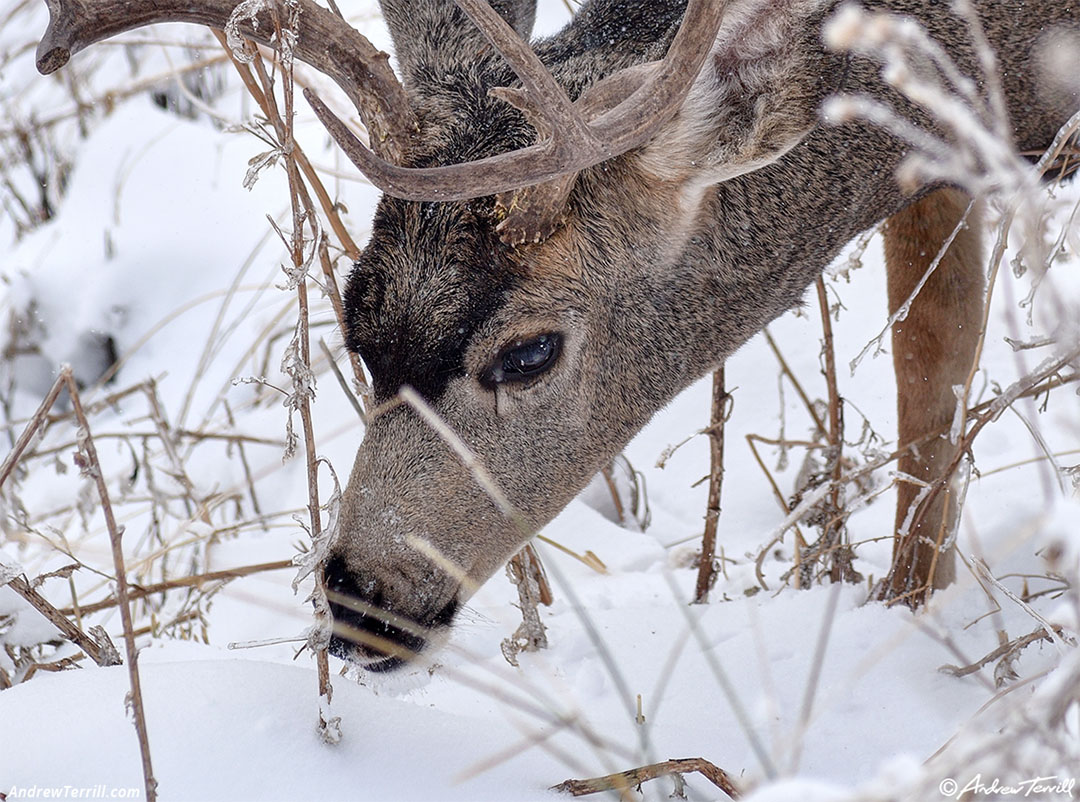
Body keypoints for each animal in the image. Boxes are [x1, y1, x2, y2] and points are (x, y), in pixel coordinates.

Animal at [35, 0, 1080, 669]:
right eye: (354, 328)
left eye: (529, 353)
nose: (363, 599)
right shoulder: (938, 157)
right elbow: (930, 380)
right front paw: (910, 604)